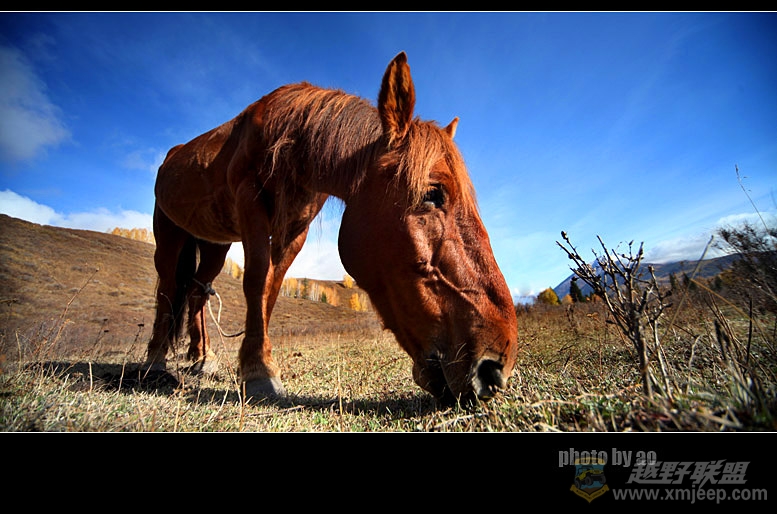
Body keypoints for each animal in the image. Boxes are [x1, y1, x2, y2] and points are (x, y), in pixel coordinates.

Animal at [145, 52, 519, 407]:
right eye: (433, 193)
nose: (495, 368)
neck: (290, 139)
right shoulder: (250, 202)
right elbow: (254, 282)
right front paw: (257, 372)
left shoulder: (296, 229)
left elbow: (269, 290)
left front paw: (260, 364)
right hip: (170, 233)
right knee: (168, 287)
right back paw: (155, 363)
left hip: (214, 245)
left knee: (196, 292)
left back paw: (202, 358)